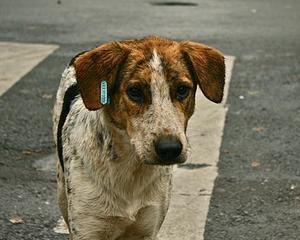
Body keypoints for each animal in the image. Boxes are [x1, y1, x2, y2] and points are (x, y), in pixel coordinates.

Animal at [52, 36, 225, 240]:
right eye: (134, 91)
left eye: (182, 89)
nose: (170, 149)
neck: (131, 167)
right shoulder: (87, 229)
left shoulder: (148, 227)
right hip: (62, 191)